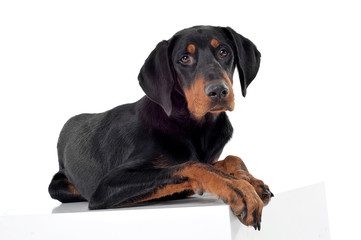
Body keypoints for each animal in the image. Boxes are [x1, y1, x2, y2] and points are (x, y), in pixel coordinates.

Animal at [48, 25, 272, 230]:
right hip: (58, 187)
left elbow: (229, 159)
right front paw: (239, 189)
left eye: (224, 52)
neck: (194, 126)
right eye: (184, 58)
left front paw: (249, 180)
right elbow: (193, 165)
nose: (218, 91)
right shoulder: (105, 187)